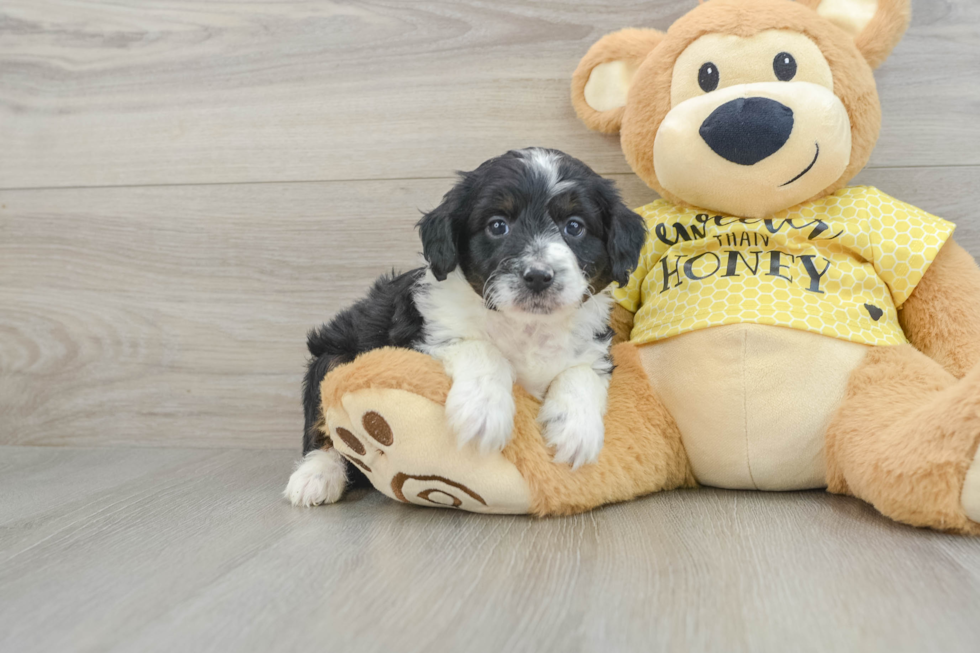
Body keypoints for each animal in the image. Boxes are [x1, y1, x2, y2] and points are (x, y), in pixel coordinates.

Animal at [288, 148, 648, 504]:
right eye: (497, 226)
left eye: (574, 226)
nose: (538, 276)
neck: (527, 326)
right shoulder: (423, 336)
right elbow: (480, 347)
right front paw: (484, 411)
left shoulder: (594, 347)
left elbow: (581, 373)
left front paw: (576, 429)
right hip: (331, 357)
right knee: (323, 431)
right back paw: (316, 475)